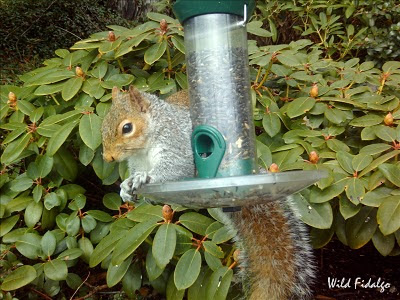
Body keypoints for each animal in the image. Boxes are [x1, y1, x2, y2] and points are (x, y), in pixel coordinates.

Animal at [100, 85, 316, 298]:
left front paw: (145, 178)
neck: (144, 148)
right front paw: (126, 188)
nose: (108, 158)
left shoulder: (177, 145)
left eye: (127, 128)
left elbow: (173, 169)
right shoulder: (137, 162)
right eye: (102, 126)